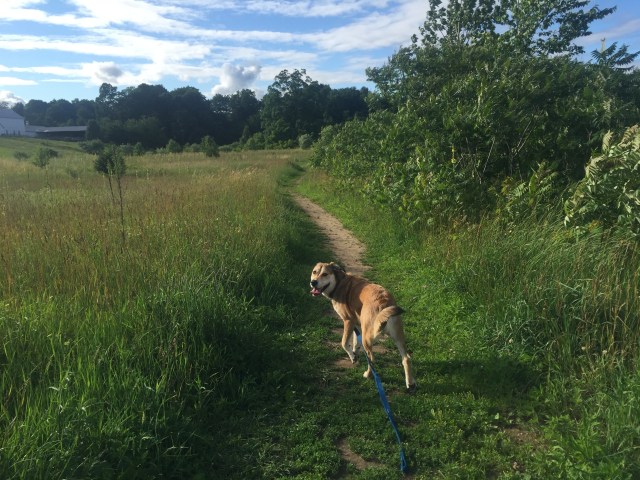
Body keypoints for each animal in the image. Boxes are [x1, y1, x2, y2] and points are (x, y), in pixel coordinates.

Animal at [308, 262, 418, 390]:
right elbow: (356, 342)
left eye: (325, 274)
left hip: (368, 337)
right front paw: (355, 353)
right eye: (314, 272)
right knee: (406, 358)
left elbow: (344, 343)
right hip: (398, 336)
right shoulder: (358, 324)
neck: (339, 282)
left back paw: (368, 375)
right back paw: (410, 383)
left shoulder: (348, 321)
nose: (313, 282)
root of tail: (383, 302)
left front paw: (352, 357)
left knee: (372, 359)